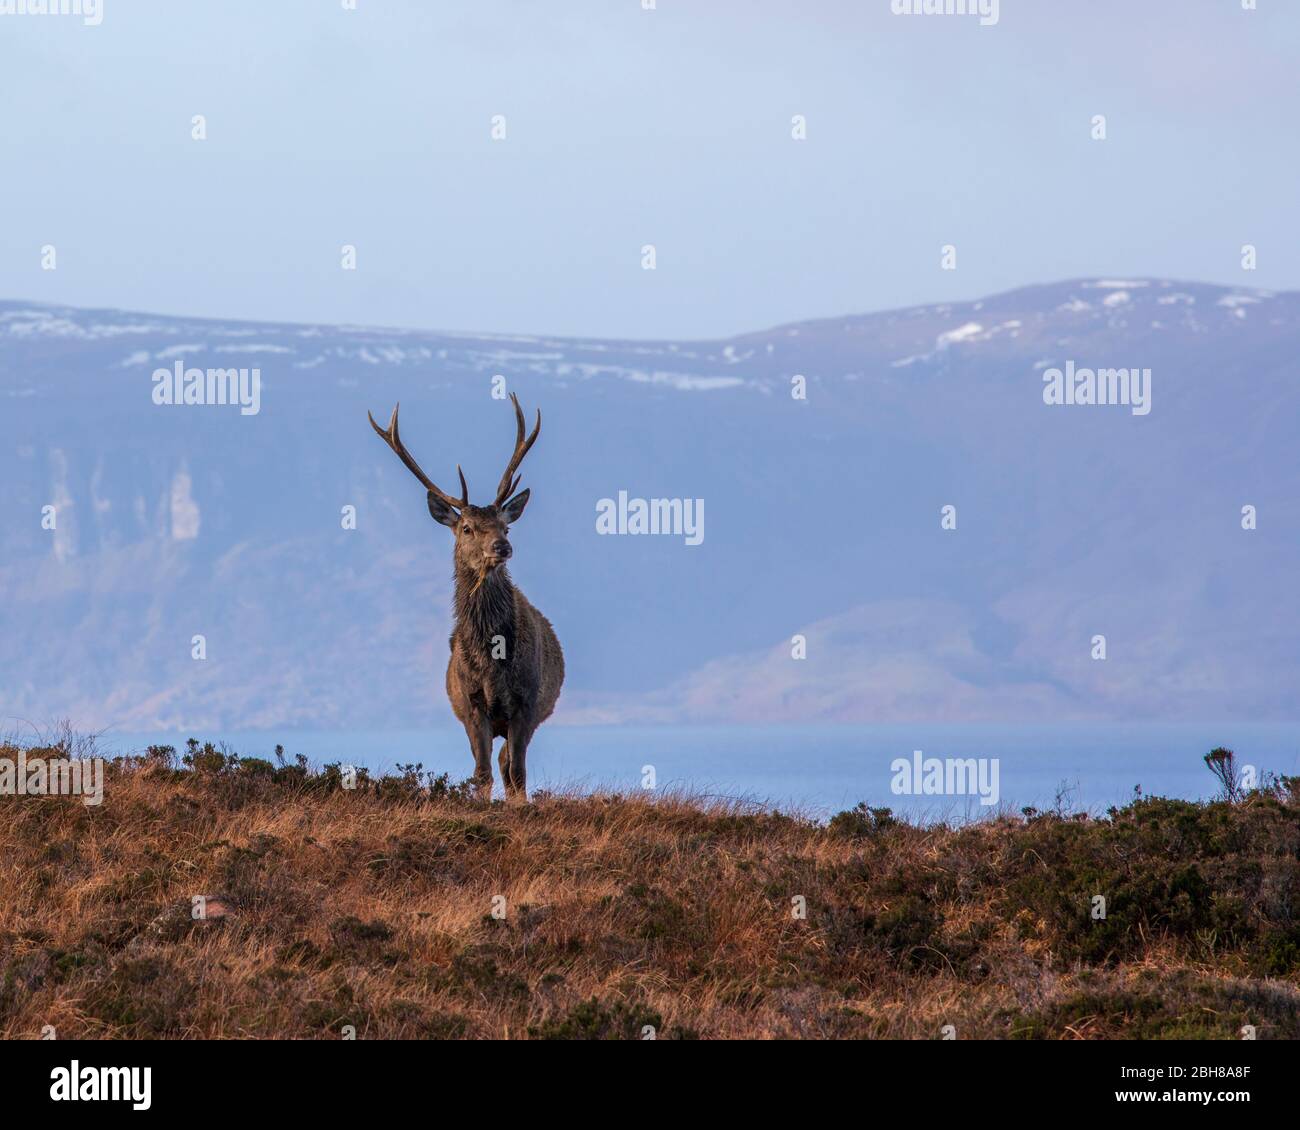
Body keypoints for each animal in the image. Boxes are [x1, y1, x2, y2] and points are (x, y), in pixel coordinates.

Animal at [368, 394, 564, 801]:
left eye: (505, 526)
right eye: (467, 528)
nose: (502, 546)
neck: (493, 658)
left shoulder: (526, 702)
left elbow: (517, 773)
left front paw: (519, 807)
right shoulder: (472, 705)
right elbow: (480, 772)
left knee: (509, 763)